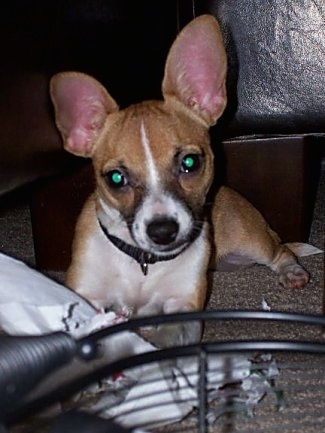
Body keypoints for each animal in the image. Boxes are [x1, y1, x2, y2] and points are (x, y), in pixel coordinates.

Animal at [50, 15, 312, 348]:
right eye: (116, 178)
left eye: (190, 163)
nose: (163, 231)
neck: (144, 264)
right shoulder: (85, 295)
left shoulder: (182, 306)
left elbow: (169, 338)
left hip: (253, 242)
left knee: (282, 251)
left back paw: (292, 271)